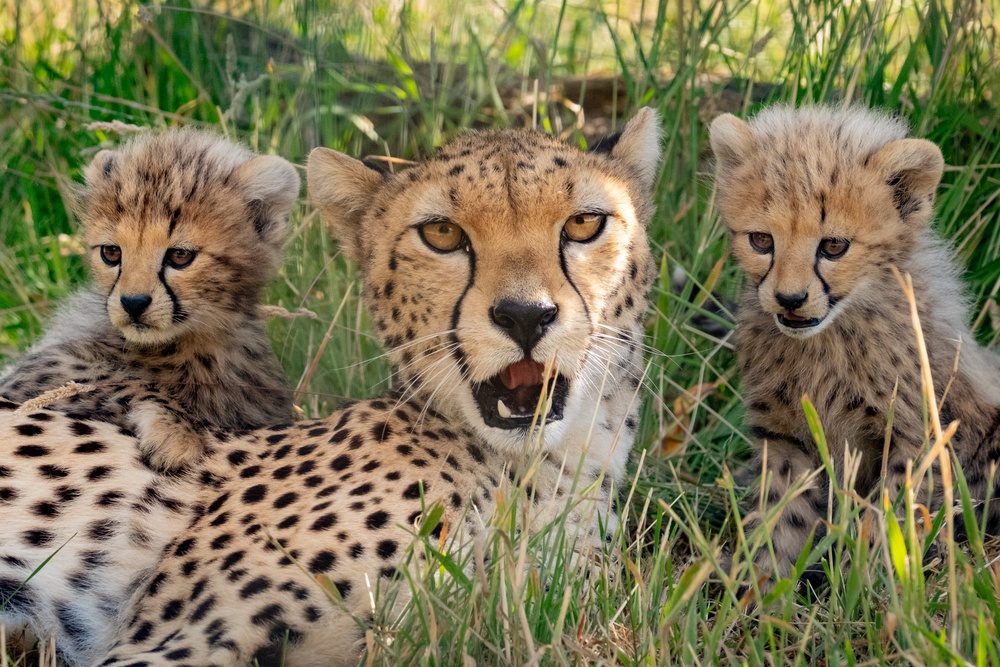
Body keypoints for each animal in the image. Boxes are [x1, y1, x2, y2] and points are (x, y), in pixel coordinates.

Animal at [0, 129, 299, 473]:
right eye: (111, 252)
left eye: (180, 255)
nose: (133, 303)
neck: (193, 345)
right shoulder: (36, 370)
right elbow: (123, 380)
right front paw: (176, 434)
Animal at [710, 105, 1000, 579]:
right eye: (761, 240)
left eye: (833, 245)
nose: (790, 300)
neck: (827, 341)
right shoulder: (786, 442)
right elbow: (780, 518)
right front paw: (757, 584)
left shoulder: (914, 436)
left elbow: (889, 518)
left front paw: (866, 584)